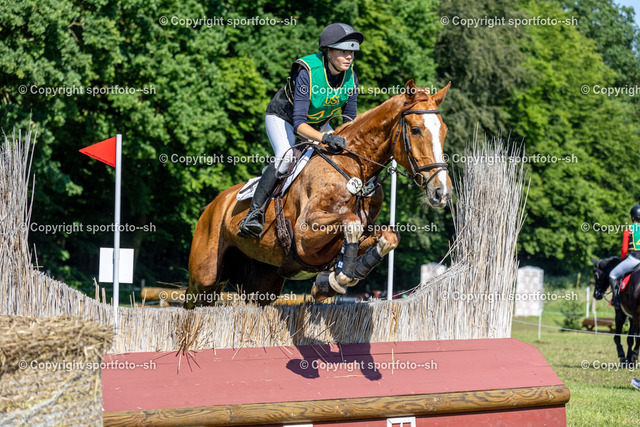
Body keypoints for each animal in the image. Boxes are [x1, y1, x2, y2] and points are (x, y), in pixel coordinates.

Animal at [185, 80, 452, 308]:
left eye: (444, 132)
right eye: (415, 130)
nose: (442, 192)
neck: (353, 167)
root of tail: (214, 204)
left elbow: (389, 236)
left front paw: (340, 278)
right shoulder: (305, 234)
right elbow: (350, 222)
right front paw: (336, 280)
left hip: (262, 282)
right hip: (204, 278)